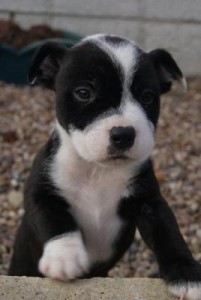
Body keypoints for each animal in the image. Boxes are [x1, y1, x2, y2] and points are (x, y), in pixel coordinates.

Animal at [8, 34, 201, 298]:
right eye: (83, 92)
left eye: (147, 97)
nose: (124, 134)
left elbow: (168, 233)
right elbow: (55, 220)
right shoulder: (42, 192)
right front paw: (65, 257)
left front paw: (187, 274)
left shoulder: (149, 202)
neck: (97, 170)